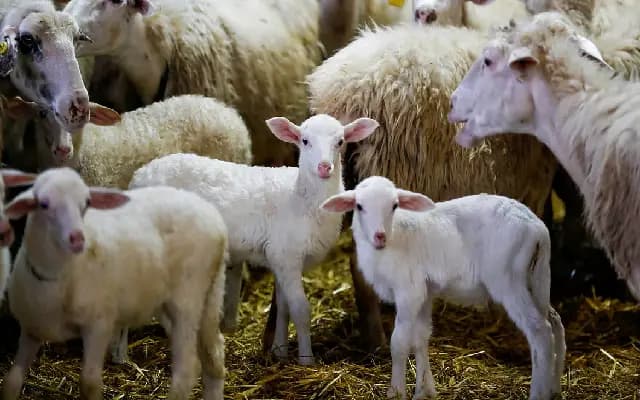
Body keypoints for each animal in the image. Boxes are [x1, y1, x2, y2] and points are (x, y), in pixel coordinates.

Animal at [2, 167, 228, 400]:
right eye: (44, 204)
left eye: (86, 203)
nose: (78, 238)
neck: (58, 275)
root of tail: (213, 216)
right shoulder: (31, 330)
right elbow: (11, 381)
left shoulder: (99, 325)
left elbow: (89, 383)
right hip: (210, 293)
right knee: (214, 353)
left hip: (187, 299)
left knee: (187, 369)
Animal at [128, 114, 380, 365]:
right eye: (305, 141)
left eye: (340, 142)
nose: (324, 167)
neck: (300, 198)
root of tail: (140, 175)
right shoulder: (287, 256)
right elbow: (300, 310)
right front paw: (306, 359)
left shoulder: (279, 258)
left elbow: (283, 307)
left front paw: (280, 351)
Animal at [320, 175, 566, 400]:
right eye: (359, 206)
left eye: (394, 205)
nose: (379, 236)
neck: (393, 238)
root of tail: (537, 229)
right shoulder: (425, 293)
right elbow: (421, 338)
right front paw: (424, 391)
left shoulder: (409, 291)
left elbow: (399, 343)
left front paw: (396, 391)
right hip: (537, 277)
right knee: (555, 321)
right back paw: (554, 387)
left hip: (508, 278)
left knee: (540, 331)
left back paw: (538, 392)